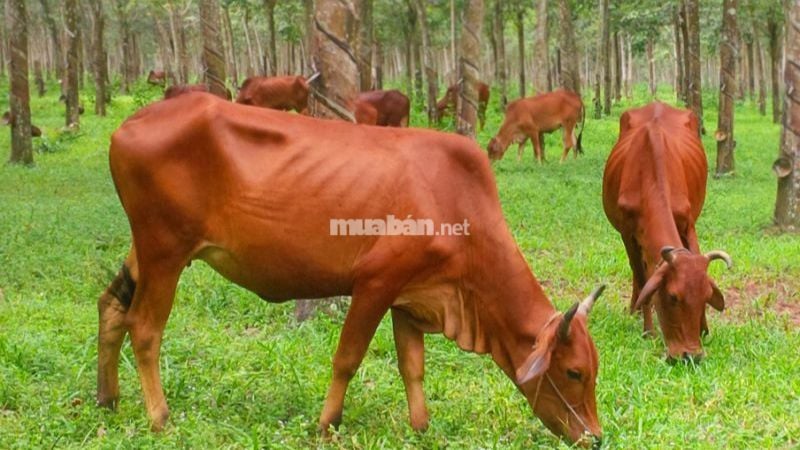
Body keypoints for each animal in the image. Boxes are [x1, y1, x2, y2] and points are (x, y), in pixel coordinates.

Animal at [97, 92, 604, 446]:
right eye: (574, 373)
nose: (595, 438)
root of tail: (130, 124)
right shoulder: (375, 282)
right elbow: (348, 358)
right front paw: (327, 424)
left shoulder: (411, 297)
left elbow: (413, 367)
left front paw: (421, 427)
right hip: (165, 251)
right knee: (144, 328)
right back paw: (159, 418)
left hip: (146, 249)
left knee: (111, 307)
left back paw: (108, 401)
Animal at [600, 102, 732, 362]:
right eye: (672, 297)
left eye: (705, 296)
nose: (690, 355)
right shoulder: (627, 233)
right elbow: (643, 279)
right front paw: (648, 331)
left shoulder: (688, 223)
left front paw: (704, 329)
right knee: (638, 271)